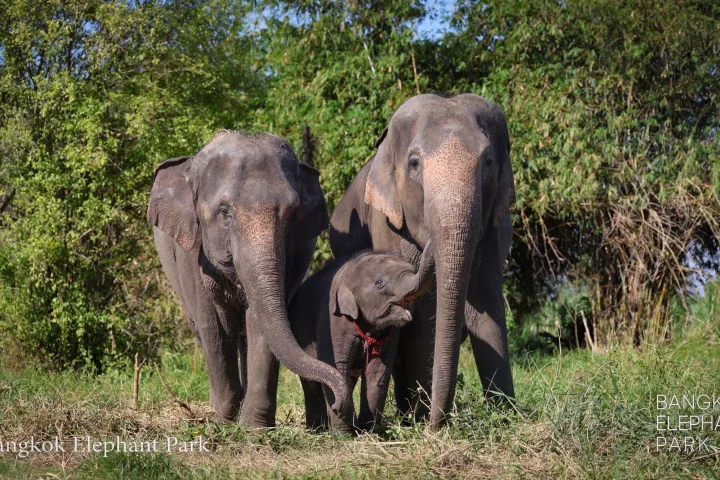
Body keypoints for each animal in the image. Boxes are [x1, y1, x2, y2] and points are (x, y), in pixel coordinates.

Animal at [147, 131, 348, 427]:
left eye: (293, 212)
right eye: (224, 212)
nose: (338, 403)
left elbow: (260, 324)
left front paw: (254, 427)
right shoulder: (191, 254)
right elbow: (214, 325)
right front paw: (224, 421)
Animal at [289, 243, 434, 434]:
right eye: (379, 283)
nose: (336, 407)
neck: (347, 272)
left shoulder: (389, 333)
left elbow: (377, 370)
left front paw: (368, 431)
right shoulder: (332, 321)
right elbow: (336, 365)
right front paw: (344, 434)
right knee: (312, 384)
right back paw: (317, 430)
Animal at [329, 94, 516, 430]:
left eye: (488, 162)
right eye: (414, 163)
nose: (434, 425)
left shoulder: (494, 224)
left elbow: (486, 300)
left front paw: (506, 416)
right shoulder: (387, 223)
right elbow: (422, 311)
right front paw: (422, 420)